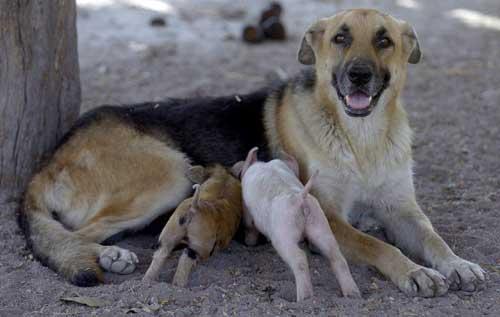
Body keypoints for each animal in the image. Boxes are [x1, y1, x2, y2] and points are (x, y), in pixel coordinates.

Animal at [238, 147, 360, 300]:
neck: (266, 165)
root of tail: (300, 198)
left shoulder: (246, 208)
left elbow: (249, 226)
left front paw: (249, 243)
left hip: (283, 233)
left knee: (299, 259)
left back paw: (304, 298)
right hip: (320, 224)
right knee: (337, 256)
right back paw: (353, 294)